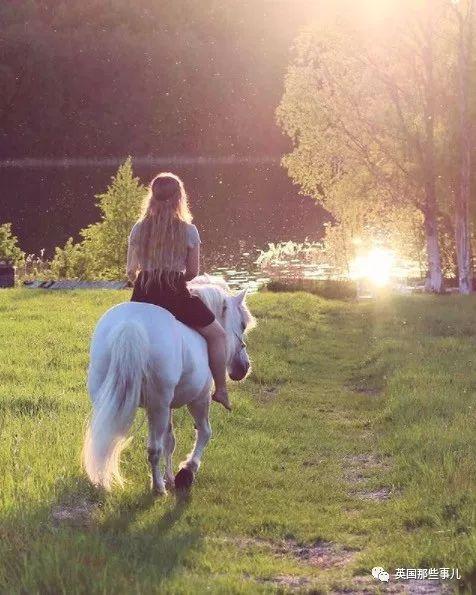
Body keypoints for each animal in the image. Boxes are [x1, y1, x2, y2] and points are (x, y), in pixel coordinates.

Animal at [81, 278, 256, 496]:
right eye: (242, 325)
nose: (244, 368)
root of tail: (130, 326)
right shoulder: (199, 399)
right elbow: (204, 432)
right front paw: (187, 471)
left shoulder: (167, 407)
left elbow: (169, 442)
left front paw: (171, 478)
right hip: (160, 405)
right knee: (153, 449)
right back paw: (158, 488)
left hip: (115, 400)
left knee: (108, 438)